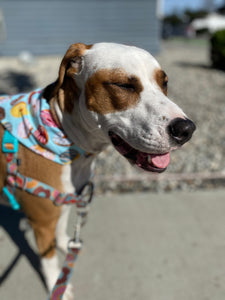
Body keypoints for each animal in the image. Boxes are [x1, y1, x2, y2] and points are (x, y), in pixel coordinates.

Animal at [0, 42, 195, 300]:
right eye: (124, 85)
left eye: (164, 83)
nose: (187, 129)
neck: (64, 132)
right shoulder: (42, 222)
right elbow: (49, 260)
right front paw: (57, 284)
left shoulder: (64, 197)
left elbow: (60, 227)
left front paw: (65, 245)